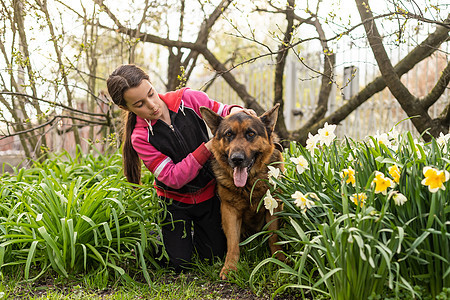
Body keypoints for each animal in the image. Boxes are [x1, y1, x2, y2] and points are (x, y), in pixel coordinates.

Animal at [200, 103, 284, 278]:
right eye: (229, 134)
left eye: (251, 134)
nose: (236, 159)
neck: (248, 186)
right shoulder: (229, 210)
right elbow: (232, 243)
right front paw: (230, 267)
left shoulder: (273, 206)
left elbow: (274, 236)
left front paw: (279, 259)